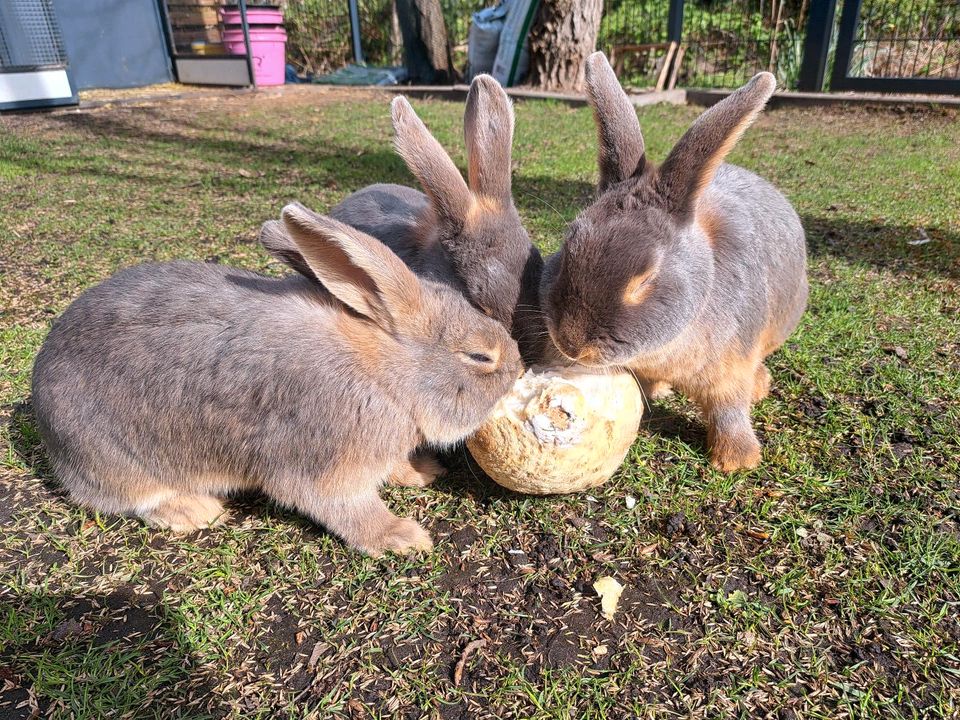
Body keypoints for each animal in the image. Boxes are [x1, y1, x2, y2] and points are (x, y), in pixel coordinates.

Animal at [31, 204, 524, 556]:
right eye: (480, 356)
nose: (519, 366)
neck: (385, 375)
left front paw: (421, 471)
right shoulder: (324, 464)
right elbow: (348, 508)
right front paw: (402, 537)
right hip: (115, 459)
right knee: (131, 497)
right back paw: (196, 510)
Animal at [540, 54, 808, 472]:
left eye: (645, 279)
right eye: (569, 244)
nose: (572, 343)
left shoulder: (730, 370)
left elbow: (729, 411)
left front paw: (737, 460)